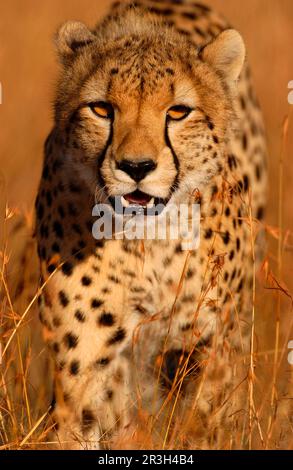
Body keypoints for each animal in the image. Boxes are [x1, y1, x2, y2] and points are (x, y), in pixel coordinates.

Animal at [35, 0, 266, 448]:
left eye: (177, 112)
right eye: (102, 109)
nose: (136, 167)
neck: (151, 242)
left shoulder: (209, 344)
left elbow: (200, 423)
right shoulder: (85, 357)